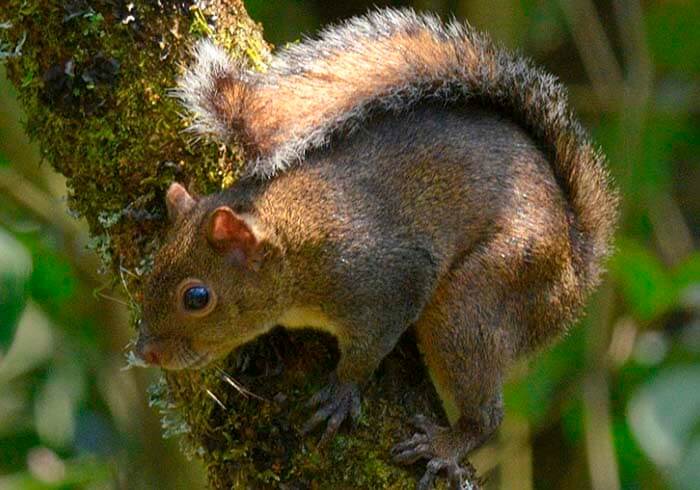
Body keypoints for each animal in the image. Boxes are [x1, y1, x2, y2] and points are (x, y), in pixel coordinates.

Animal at [134, 8, 618, 489]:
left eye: (197, 297)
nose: (144, 353)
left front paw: (342, 392)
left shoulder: (385, 278)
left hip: (479, 298)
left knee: (486, 409)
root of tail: (577, 272)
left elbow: (368, 347)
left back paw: (446, 444)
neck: (291, 240)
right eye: (149, 270)